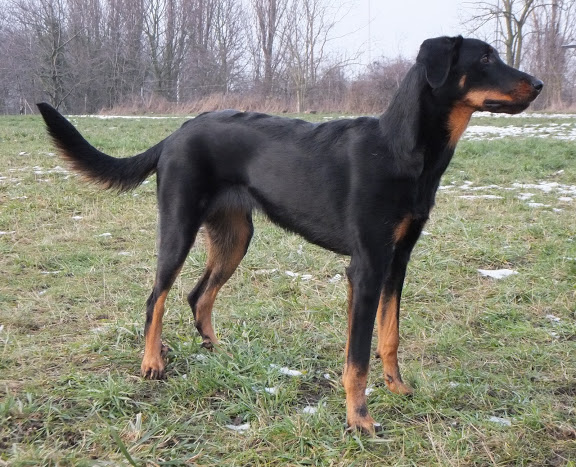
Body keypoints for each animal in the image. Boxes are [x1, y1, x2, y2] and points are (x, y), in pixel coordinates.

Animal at [37, 35, 544, 436]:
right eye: (485, 58)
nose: (538, 84)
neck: (403, 149)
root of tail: (174, 135)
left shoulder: (397, 261)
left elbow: (388, 337)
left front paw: (398, 388)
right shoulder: (366, 267)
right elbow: (358, 357)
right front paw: (359, 419)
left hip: (236, 236)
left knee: (198, 295)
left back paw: (217, 351)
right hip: (178, 228)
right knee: (155, 298)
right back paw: (152, 363)